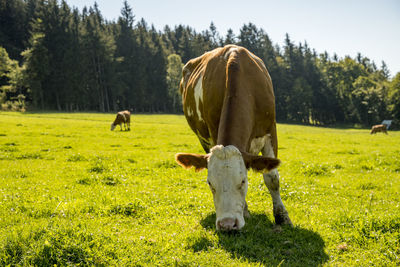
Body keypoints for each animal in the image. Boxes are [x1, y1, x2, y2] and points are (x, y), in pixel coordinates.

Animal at [174, 45, 290, 231]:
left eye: (243, 181)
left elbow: (272, 178)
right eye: (210, 184)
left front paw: (282, 216)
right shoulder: (213, 133)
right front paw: (245, 211)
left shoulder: (270, 130)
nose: (227, 224)